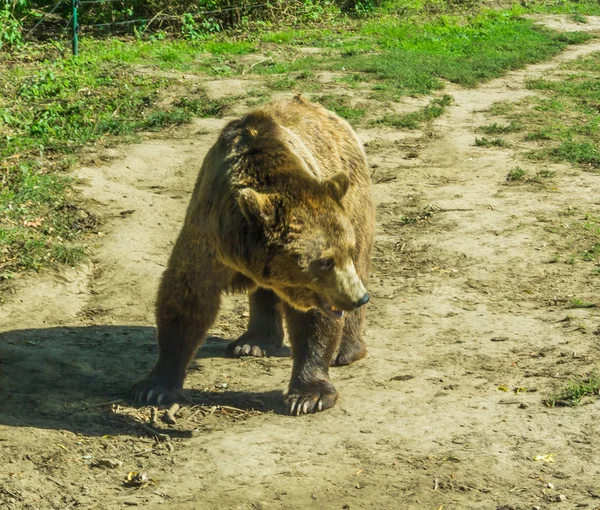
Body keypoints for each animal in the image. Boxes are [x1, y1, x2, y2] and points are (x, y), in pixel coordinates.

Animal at [134, 94, 372, 414]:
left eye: (340, 253)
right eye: (324, 261)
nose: (357, 297)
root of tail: (325, 110)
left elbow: (312, 320)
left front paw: (309, 396)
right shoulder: (207, 237)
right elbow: (186, 301)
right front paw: (154, 387)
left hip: (352, 195)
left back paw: (345, 350)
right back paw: (252, 343)